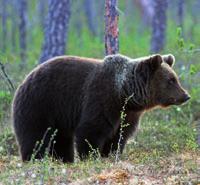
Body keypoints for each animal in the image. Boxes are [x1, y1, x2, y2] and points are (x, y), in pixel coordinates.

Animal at [11, 53, 190, 162]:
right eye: (171, 80)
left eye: (175, 78)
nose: (186, 95)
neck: (124, 93)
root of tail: (24, 80)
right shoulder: (101, 99)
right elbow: (91, 130)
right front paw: (91, 156)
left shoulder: (128, 114)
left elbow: (119, 136)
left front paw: (111, 155)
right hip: (40, 104)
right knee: (35, 136)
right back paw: (33, 158)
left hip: (59, 117)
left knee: (61, 139)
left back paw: (64, 160)